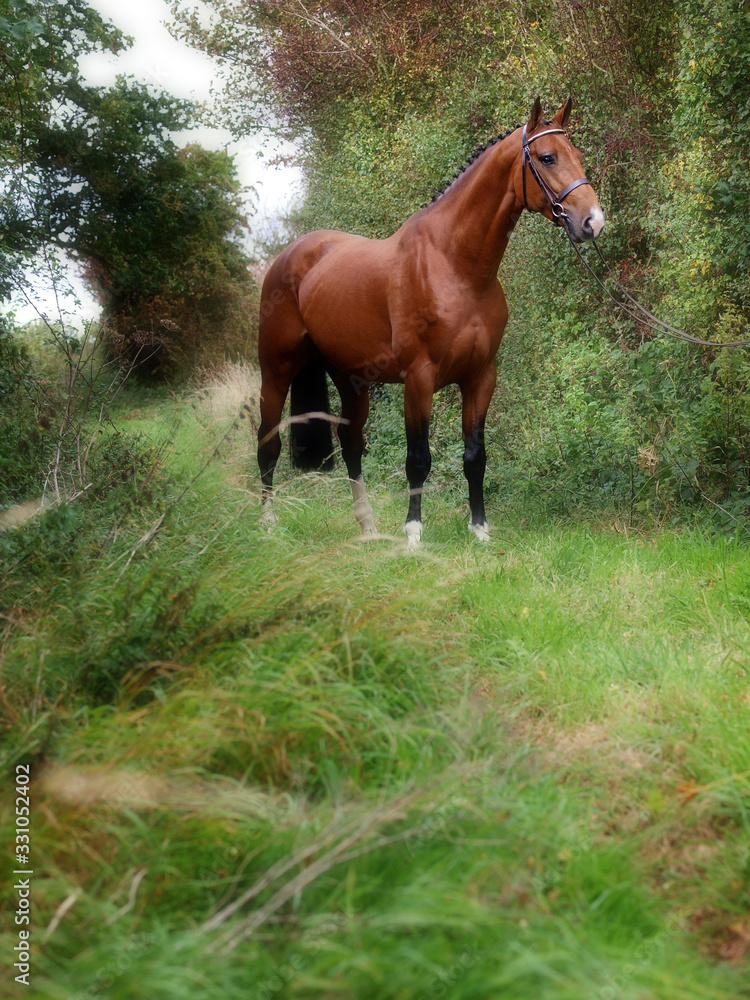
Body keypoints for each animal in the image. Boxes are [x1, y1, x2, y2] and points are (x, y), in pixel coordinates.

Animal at [256, 97, 604, 546]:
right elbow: (418, 458)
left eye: (577, 154)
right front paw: (413, 534)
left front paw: (479, 529)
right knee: (268, 442)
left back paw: (368, 528)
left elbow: (475, 456)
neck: (455, 266)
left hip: (350, 379)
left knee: (350, 442)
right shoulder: (419, 379)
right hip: (275, 371)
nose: (593, 221)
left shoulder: (480, 377)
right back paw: (267, 522)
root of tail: (290, 254)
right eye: (547, 157)